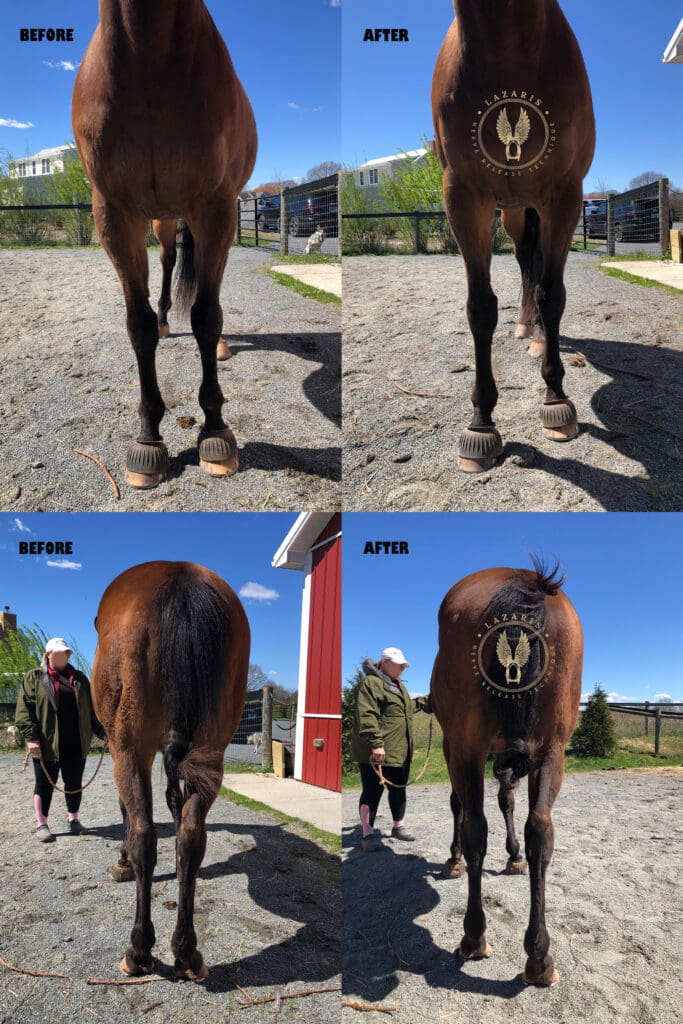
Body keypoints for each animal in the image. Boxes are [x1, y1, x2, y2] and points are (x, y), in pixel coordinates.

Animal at [72, 1, 257, 489]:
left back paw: (217, 345)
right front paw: (148, 438)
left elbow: (207, 316)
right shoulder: (115, 215)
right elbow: (136, 327)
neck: (148, 58)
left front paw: (215, 433)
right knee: (169, 260)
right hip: (161, 217)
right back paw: (164, 320)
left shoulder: (216, 207)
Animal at [91, 561, 250, 980]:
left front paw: (121, 862)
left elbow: (127, 815)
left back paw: (139, 950)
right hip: (211, 754)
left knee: (144, 836)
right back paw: (187, 952)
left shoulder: (123, 752)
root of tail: (180, 577)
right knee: (191, 837)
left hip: (130, 750)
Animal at [430, 557, 583, 986]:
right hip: (551, 751)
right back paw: (539, 958)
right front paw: (514, 857)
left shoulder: (455, 747)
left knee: (474, 825)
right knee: (540, 829)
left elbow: (463, 804)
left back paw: (473, 937)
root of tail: (525, 581)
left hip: (466, 750)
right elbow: (508, 802)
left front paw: (454, 860)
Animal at [431, 1, 595, 472]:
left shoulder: (565, 194)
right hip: (513, 212)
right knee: (526, 262)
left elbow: (552, 295)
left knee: (537, 271)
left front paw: (556, 401)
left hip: (534, 206)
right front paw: (481, 423)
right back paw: (525, 327)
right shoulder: (463, 198)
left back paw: (539, 339)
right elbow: (480, 307)